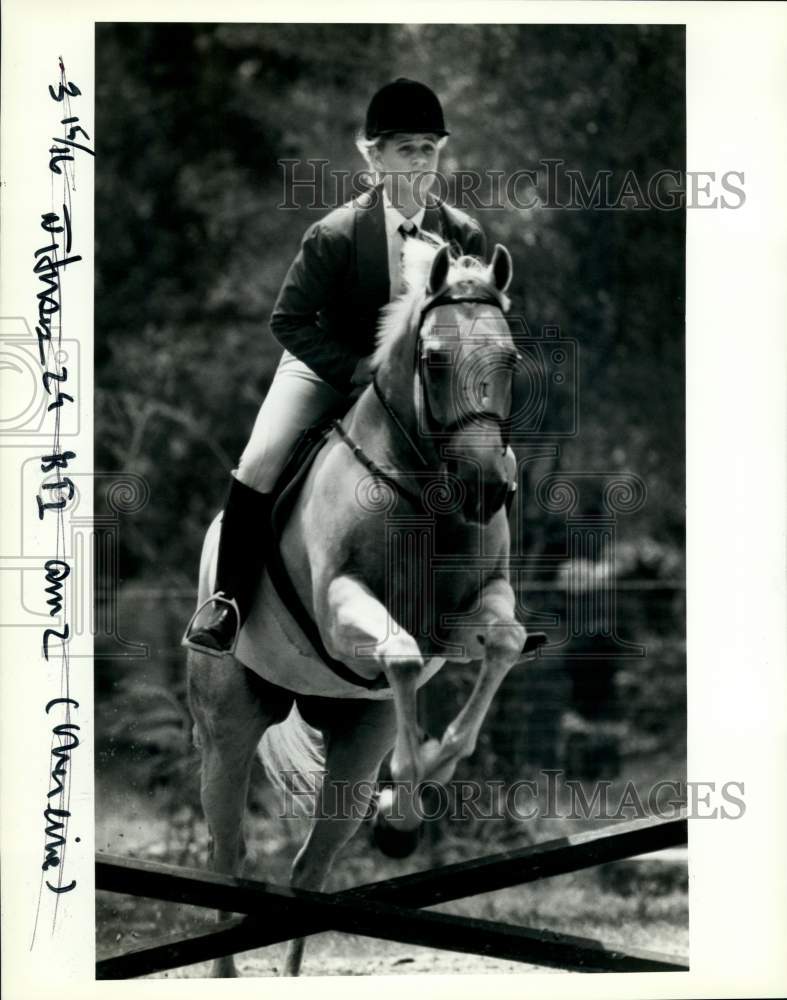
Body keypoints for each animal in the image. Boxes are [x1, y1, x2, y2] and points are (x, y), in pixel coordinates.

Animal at [186, 236, 540, 976]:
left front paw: (415, 792)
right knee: (227, 854)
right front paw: (405, 800)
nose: (487, 489)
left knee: (310, 866)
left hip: (355, 736)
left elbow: (503, 643)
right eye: (434, 361)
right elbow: (399, 653)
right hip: (227, 729)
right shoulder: (342, 610)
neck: (428, 491)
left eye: (510, 360)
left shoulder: (468, 616)